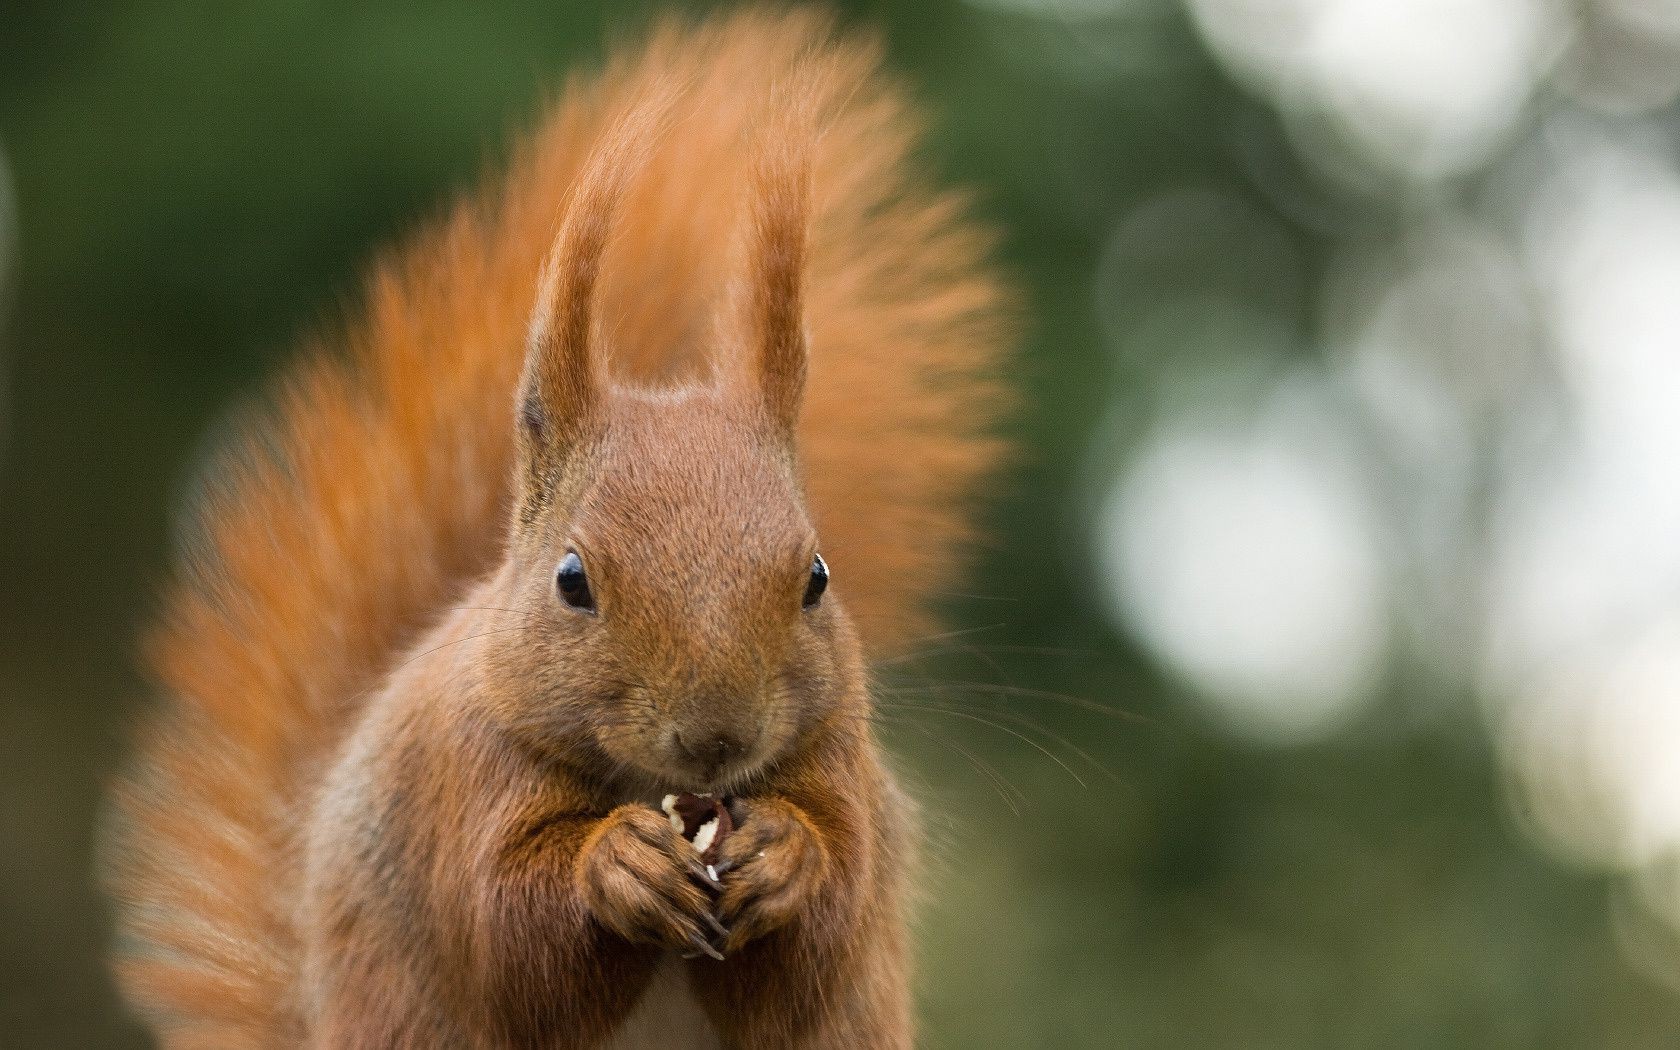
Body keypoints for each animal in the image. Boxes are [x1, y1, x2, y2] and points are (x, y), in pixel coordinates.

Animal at [111, 10, 1014, 1048]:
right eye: (572, 580)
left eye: (817, 578)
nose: (718, 737)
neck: (651, 790)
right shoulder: (463, 777)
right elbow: (515, 943)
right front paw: (614, 868)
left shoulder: (836, 761)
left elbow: (818, 945)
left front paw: (788, 857)